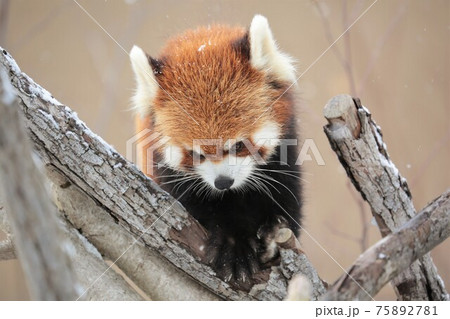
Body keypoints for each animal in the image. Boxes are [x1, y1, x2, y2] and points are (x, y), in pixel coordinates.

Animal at [130, 15, 302, 290]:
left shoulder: (285, 158)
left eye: (239, 145)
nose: (223, 182)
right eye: (196, 153)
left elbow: (286, 201)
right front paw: (234, 245)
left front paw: (272, 235)